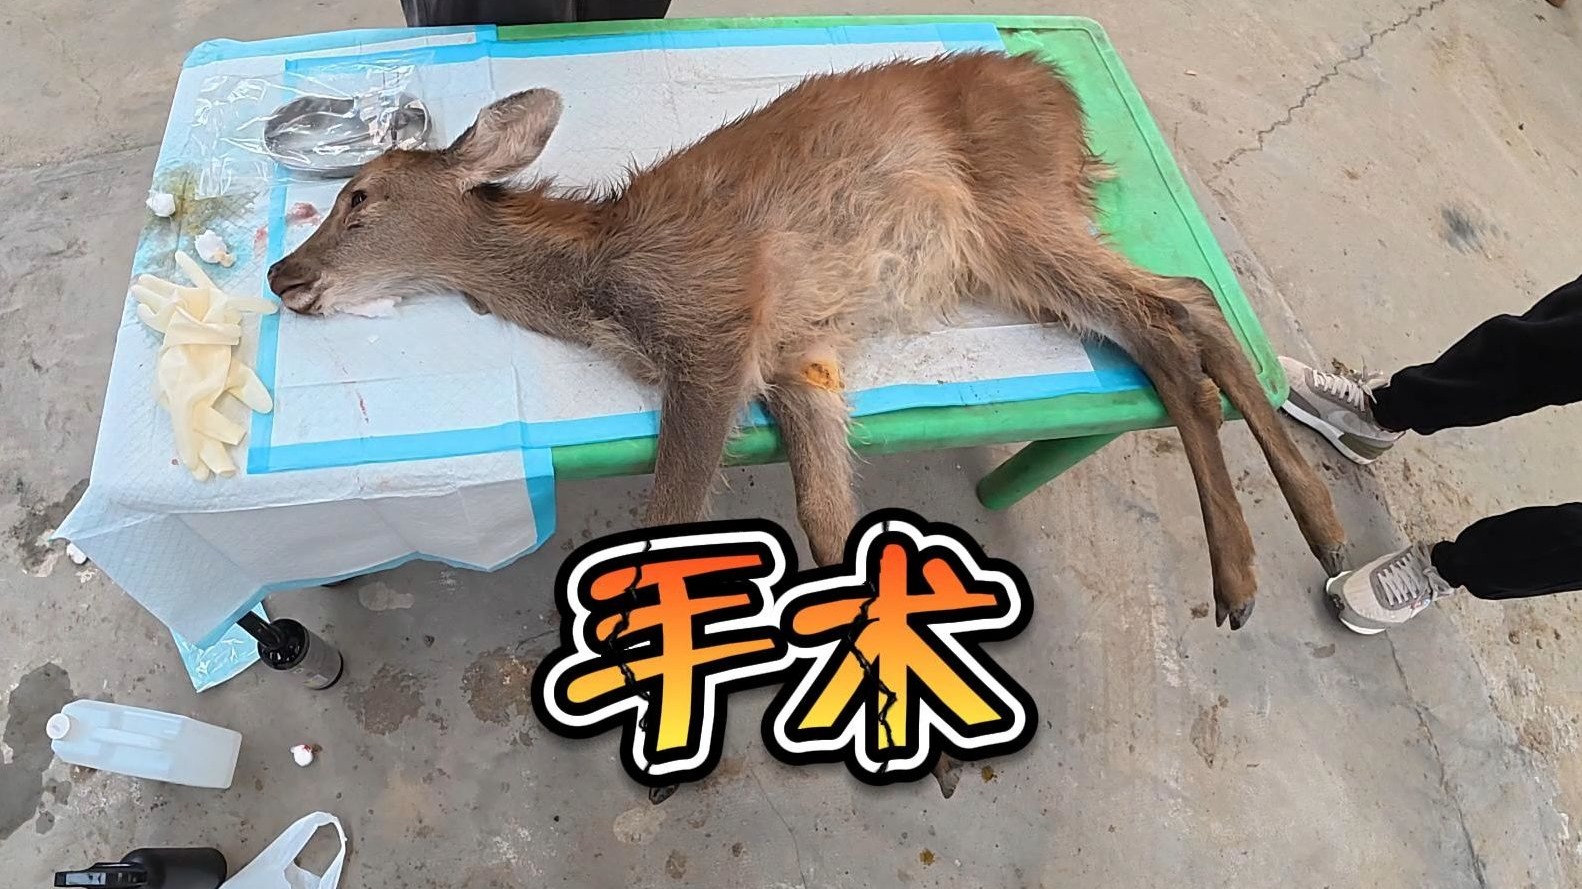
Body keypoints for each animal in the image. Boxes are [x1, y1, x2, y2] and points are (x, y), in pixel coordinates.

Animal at [268, 50, 1347, 631]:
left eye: (359, 197)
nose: (283, 277)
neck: (598, 279)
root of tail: (1062, 93)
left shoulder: (717, 321)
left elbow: (668, 512)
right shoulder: (802, 356)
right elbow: (828, 524)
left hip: (1015, 208)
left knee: (1179, 305)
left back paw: (1266, 561)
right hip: (1014, 255)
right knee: (1176, 315)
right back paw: (1300, 540)